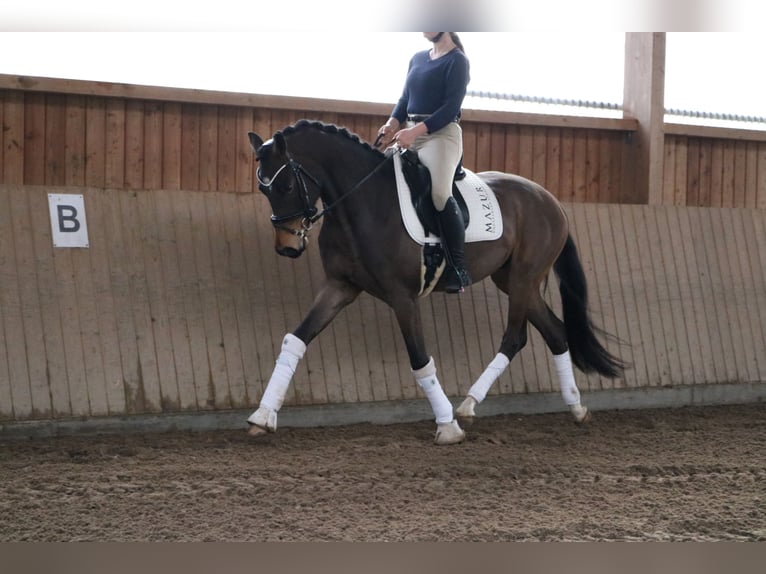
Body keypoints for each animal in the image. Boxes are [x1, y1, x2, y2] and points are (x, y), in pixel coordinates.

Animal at [246, 120, 624, 446]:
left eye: (285, 185)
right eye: (263, 189)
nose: (287, 247)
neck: (362, 203)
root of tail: (550, 200)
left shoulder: (402, 297)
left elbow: (419, 359)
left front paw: (448, 427)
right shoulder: (339, 287)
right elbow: (295, 339)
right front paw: (262, 417)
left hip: (522, 279)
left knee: (515, 338)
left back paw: (468, 406)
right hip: (516, 282)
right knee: (556, 333)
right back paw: (576, 408)